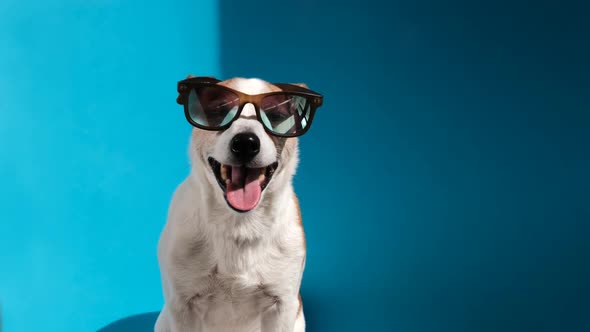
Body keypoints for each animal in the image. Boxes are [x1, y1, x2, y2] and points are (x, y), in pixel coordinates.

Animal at [156, 76, 324, 332]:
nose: (245, 142)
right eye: (218, 111)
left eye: (275, 115)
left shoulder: (282, 306)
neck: (239, 223)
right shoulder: (182, 306)